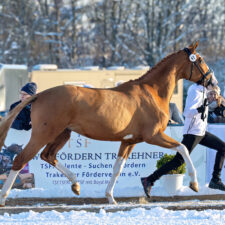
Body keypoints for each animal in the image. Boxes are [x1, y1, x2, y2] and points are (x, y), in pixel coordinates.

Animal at [0, 41, 218, 207]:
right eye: (200, 60)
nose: (213, 83)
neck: (152, 92)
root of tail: (40, 95)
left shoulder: (129, 141)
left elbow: (117, 168)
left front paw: (110, 198)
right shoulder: (153, 136)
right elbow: (183, 148)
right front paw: (194, 184)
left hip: (63, 133)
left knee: (48, 155)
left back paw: (76, 185)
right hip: (43, 134)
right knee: (20, 159)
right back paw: (3, 197)